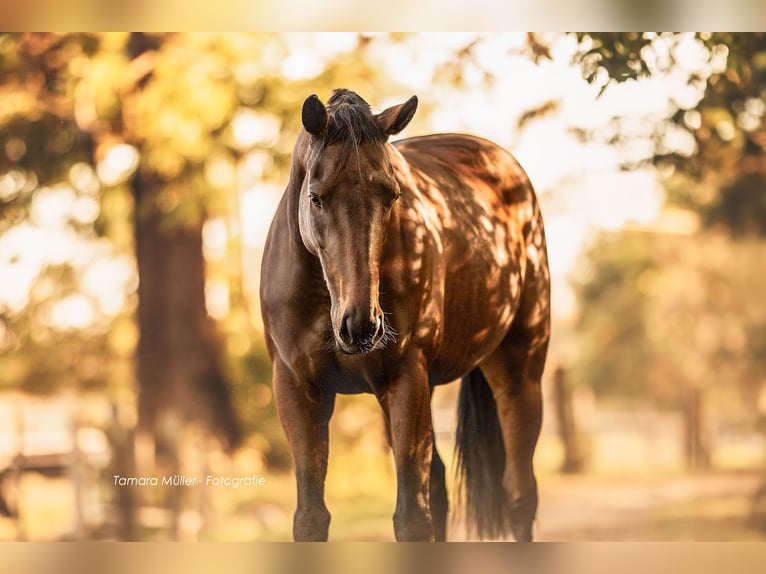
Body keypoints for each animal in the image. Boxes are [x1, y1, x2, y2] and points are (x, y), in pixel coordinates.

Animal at [260, 89, 550, 541]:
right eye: (316, 197)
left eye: (392, 195)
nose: (361, 325)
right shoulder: (295, 390)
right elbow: (311, 518)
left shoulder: (404, 379)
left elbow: (412, 518)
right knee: (442, 488)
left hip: (519, 373)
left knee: (520, 495)